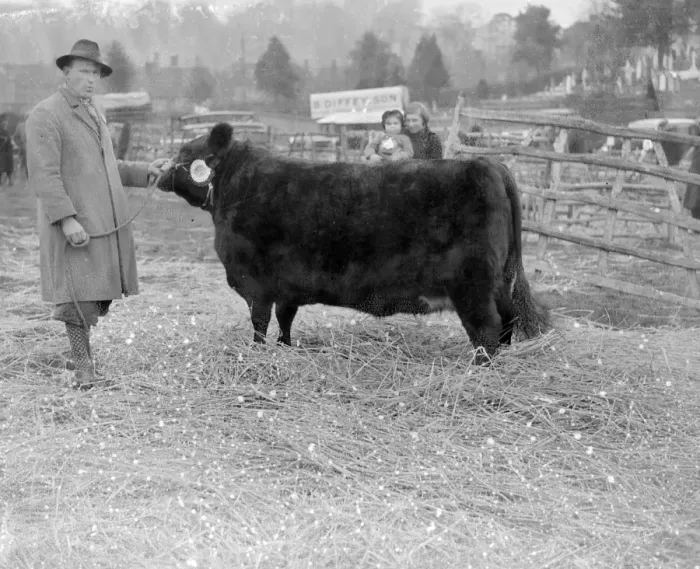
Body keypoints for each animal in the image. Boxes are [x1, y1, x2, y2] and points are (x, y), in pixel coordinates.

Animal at [157, 123, 551, 364]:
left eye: (185, 152)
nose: (156, 171)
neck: (236, 188)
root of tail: (487, 164)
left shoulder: (257, 285)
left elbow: (260, 324)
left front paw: (259, 353)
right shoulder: (286, 288)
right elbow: (285, 321)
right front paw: (285, 348)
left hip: (472, 286)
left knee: (487, 328)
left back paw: (479, 369)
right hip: (500, 282)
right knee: (507, 322)